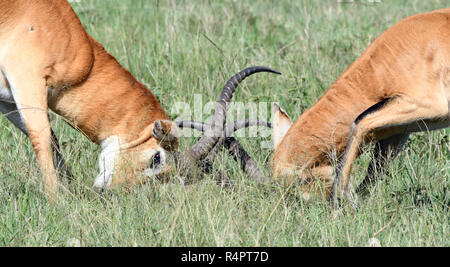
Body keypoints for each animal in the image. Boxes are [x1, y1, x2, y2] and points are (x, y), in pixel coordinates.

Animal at [0, 0, 280, 200]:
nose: (108, 194)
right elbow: (42, 137)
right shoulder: (28, 80)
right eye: (156, 158)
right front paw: (57, 202)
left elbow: (52, 140)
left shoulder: (8, 100)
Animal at [258, 7, 448, 205]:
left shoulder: (427, 105)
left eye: (298, 182)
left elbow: (359, 122)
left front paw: (341, 198)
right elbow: (375, 168)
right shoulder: (401, 129)